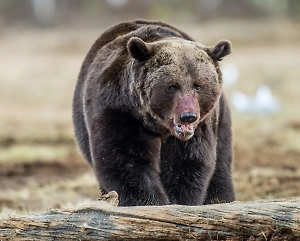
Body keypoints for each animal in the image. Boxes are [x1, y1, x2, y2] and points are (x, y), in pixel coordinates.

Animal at [72, 19, 234, 206]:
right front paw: (152, 201)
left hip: (221, 122)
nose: (188, 116)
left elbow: (187, 162)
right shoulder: (119, 110)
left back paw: (220, 199)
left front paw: (179, 200)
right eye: (172, 86)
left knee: (221, 166)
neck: (158, 125)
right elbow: (125, 158)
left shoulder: (201, 125)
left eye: (198, 86)